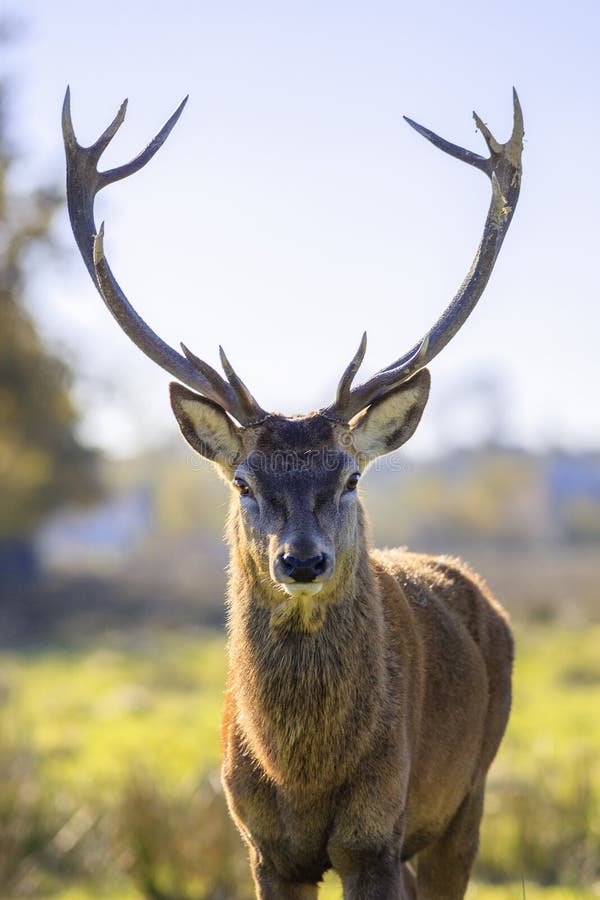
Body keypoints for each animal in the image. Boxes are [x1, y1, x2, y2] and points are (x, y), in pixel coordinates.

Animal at [63, 86, 524, 900]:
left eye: (350, 476)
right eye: (245, 481)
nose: (302, 561)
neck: (301, 774)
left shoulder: (376, 832)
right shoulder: (263, 845)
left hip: (467, 793)